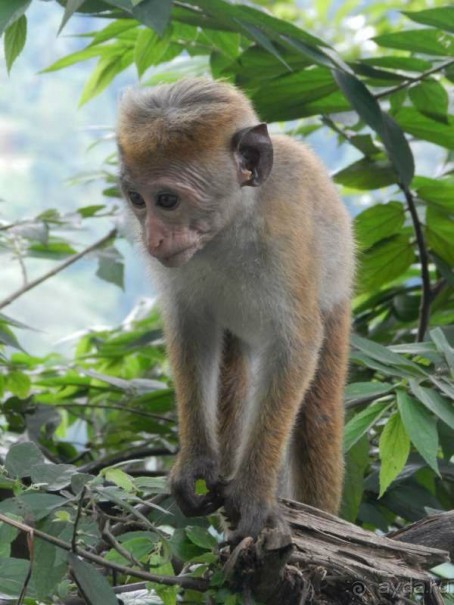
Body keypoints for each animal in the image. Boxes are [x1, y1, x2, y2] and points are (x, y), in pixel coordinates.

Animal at [117, 78, 354, 540]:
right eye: (137, 199)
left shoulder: (286, 239)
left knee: (315, 418)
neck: (227, 227)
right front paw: (194, 462)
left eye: (167, 200)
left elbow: (295, 346)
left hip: (336, 303)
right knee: (233, 381)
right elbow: (192, 332)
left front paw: (253, 491)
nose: (153, 240)